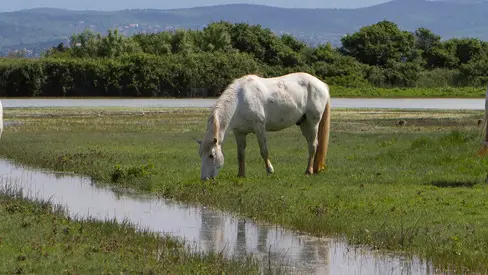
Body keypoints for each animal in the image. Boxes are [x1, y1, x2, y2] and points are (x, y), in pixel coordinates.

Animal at [197, 72, 332, 182]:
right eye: (200, 155)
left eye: (211, 155)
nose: (204, 179)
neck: (239, 101)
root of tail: (322, 85)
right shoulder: (239, 133)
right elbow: (240, 154)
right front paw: (241, 175)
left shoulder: (259, 128)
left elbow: (264, 151)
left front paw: (270, 171)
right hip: (303, 124)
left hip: (312, 123)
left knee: (313, 145)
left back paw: (308, 171)